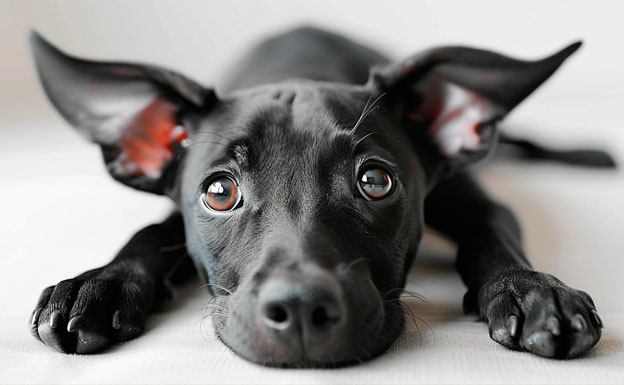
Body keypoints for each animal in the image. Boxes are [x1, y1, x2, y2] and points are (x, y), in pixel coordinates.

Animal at [28, 26, 608, 364]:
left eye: (375, 182)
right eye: (218, 192)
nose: (302, 309)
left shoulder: (477, 202)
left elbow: (488, 235)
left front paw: (532, 289)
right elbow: (151, 231)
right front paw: (102, 283)